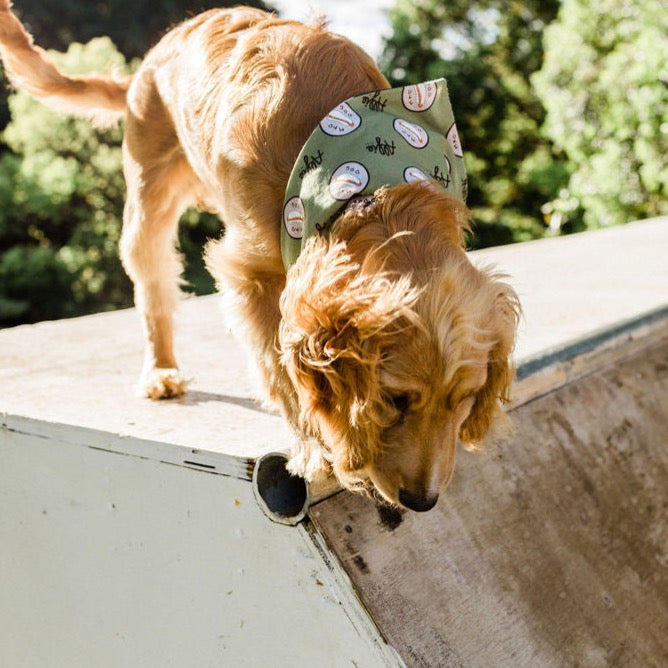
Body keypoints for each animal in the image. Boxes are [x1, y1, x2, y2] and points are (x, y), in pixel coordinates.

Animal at [0, 2, 520, 512]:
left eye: (464, 399)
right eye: (395, 401)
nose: (423, 501)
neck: (365, 187)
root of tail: (149, 62)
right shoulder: (249, 273)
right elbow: (281, 368)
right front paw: (314, 447)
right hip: (148, 204)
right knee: (153, 289)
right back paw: (161, 370)